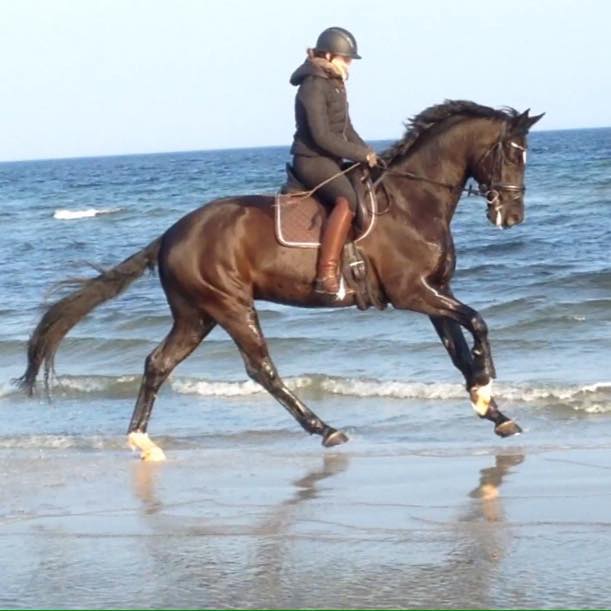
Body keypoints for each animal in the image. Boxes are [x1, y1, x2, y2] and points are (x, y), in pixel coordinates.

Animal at [17, 101, 544, 464]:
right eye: (513, 154)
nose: (512, 216)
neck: (414, 202)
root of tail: (171, 235)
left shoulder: (435, 292)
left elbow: (459, 346)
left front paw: (491, 410)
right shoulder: (413, 293)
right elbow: (478, 323)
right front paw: (486, 385)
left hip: (196, 315)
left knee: (157, 364)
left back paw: (142, 441)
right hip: (230, 307)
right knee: (261, 369)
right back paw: (325, 429)